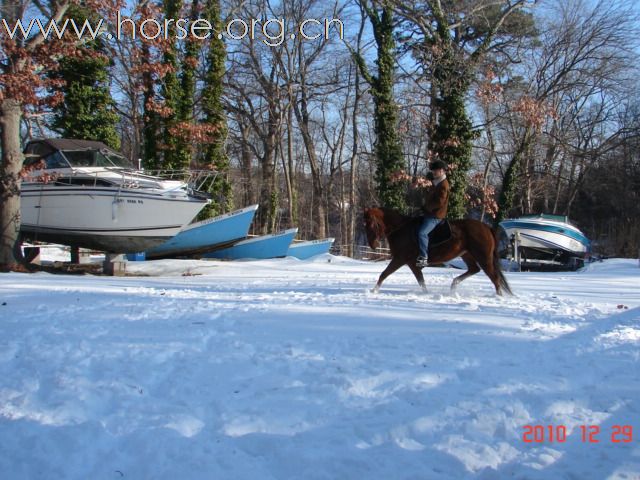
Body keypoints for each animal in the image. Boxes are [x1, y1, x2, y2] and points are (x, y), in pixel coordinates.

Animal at [362, 207, 512, 294]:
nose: (373, 245)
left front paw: (373, 291)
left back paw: (498, 297)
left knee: (494, 277)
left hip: (483, 257)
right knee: (474, 270)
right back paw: (454, 285)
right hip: (467, 255)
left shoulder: (400, 259)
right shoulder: (411, 263)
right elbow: (421, 281)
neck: (401, 229)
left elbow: (384, 274)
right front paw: (426, 294)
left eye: (372, 224)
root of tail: (486, 227)